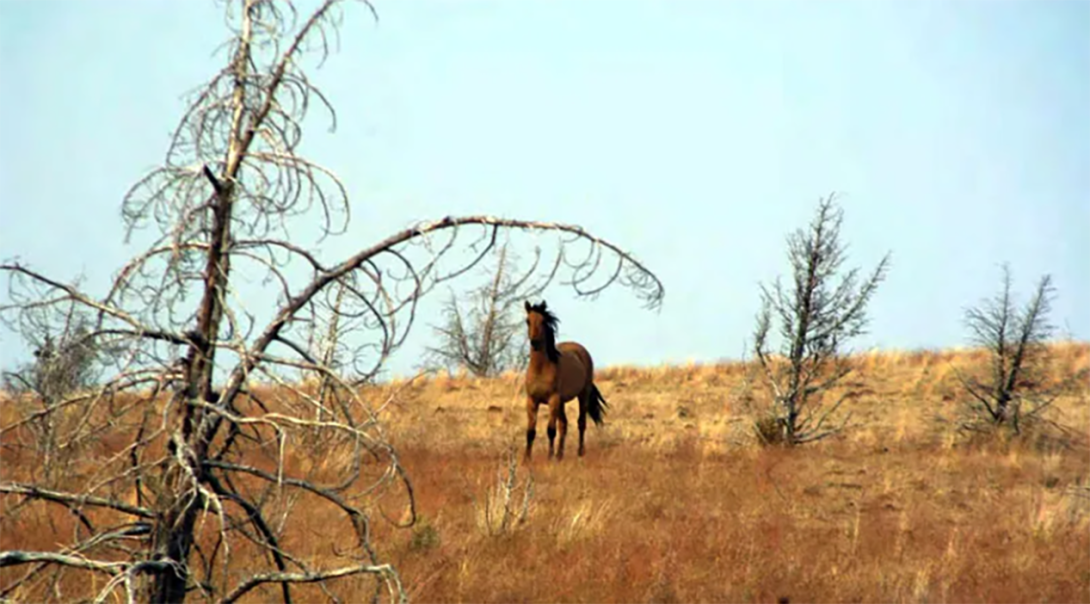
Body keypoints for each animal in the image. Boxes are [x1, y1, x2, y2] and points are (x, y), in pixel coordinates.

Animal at [523, 298, 610, 460]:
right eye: (527, 321)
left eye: (543, 321)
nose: (534, 342)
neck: (540, 369)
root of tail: (580, 350)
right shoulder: (532, 401)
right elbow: (531, 432)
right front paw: (526, 459)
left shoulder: (553, 400)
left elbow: (551, 430)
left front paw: (549, 457)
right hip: (562, 403)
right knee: (564, 425)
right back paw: (559, 455)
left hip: (582, 395)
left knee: (581, 423)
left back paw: (579, 452)